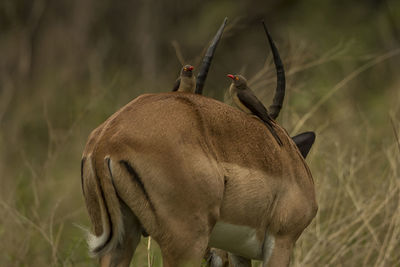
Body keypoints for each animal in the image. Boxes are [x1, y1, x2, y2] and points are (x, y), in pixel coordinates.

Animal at [82, 19, 318, 266]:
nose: (213, 257)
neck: (290, 160)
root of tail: (105, 142)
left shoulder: (238, 251)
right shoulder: (282, 241)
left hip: (120, 240)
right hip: (186, 243)